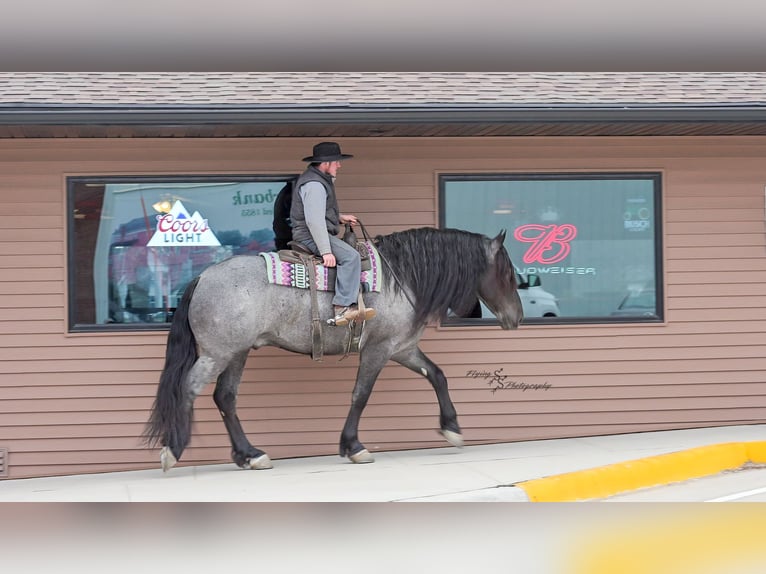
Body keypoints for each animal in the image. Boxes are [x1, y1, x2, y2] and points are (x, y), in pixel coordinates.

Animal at [144, 226, 523, 471]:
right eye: (507, 273)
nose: (517, 317)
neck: (401, 277)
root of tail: (202, 277)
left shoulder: (401, 348)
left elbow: (438, 376)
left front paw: (452, 429)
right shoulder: (378, 350)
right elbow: (361, 395)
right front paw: (353, 446)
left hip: (237, 353)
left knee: (225, 398)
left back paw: (250, 454)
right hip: (217, 354)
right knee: (189, 388)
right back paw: (174, 450)